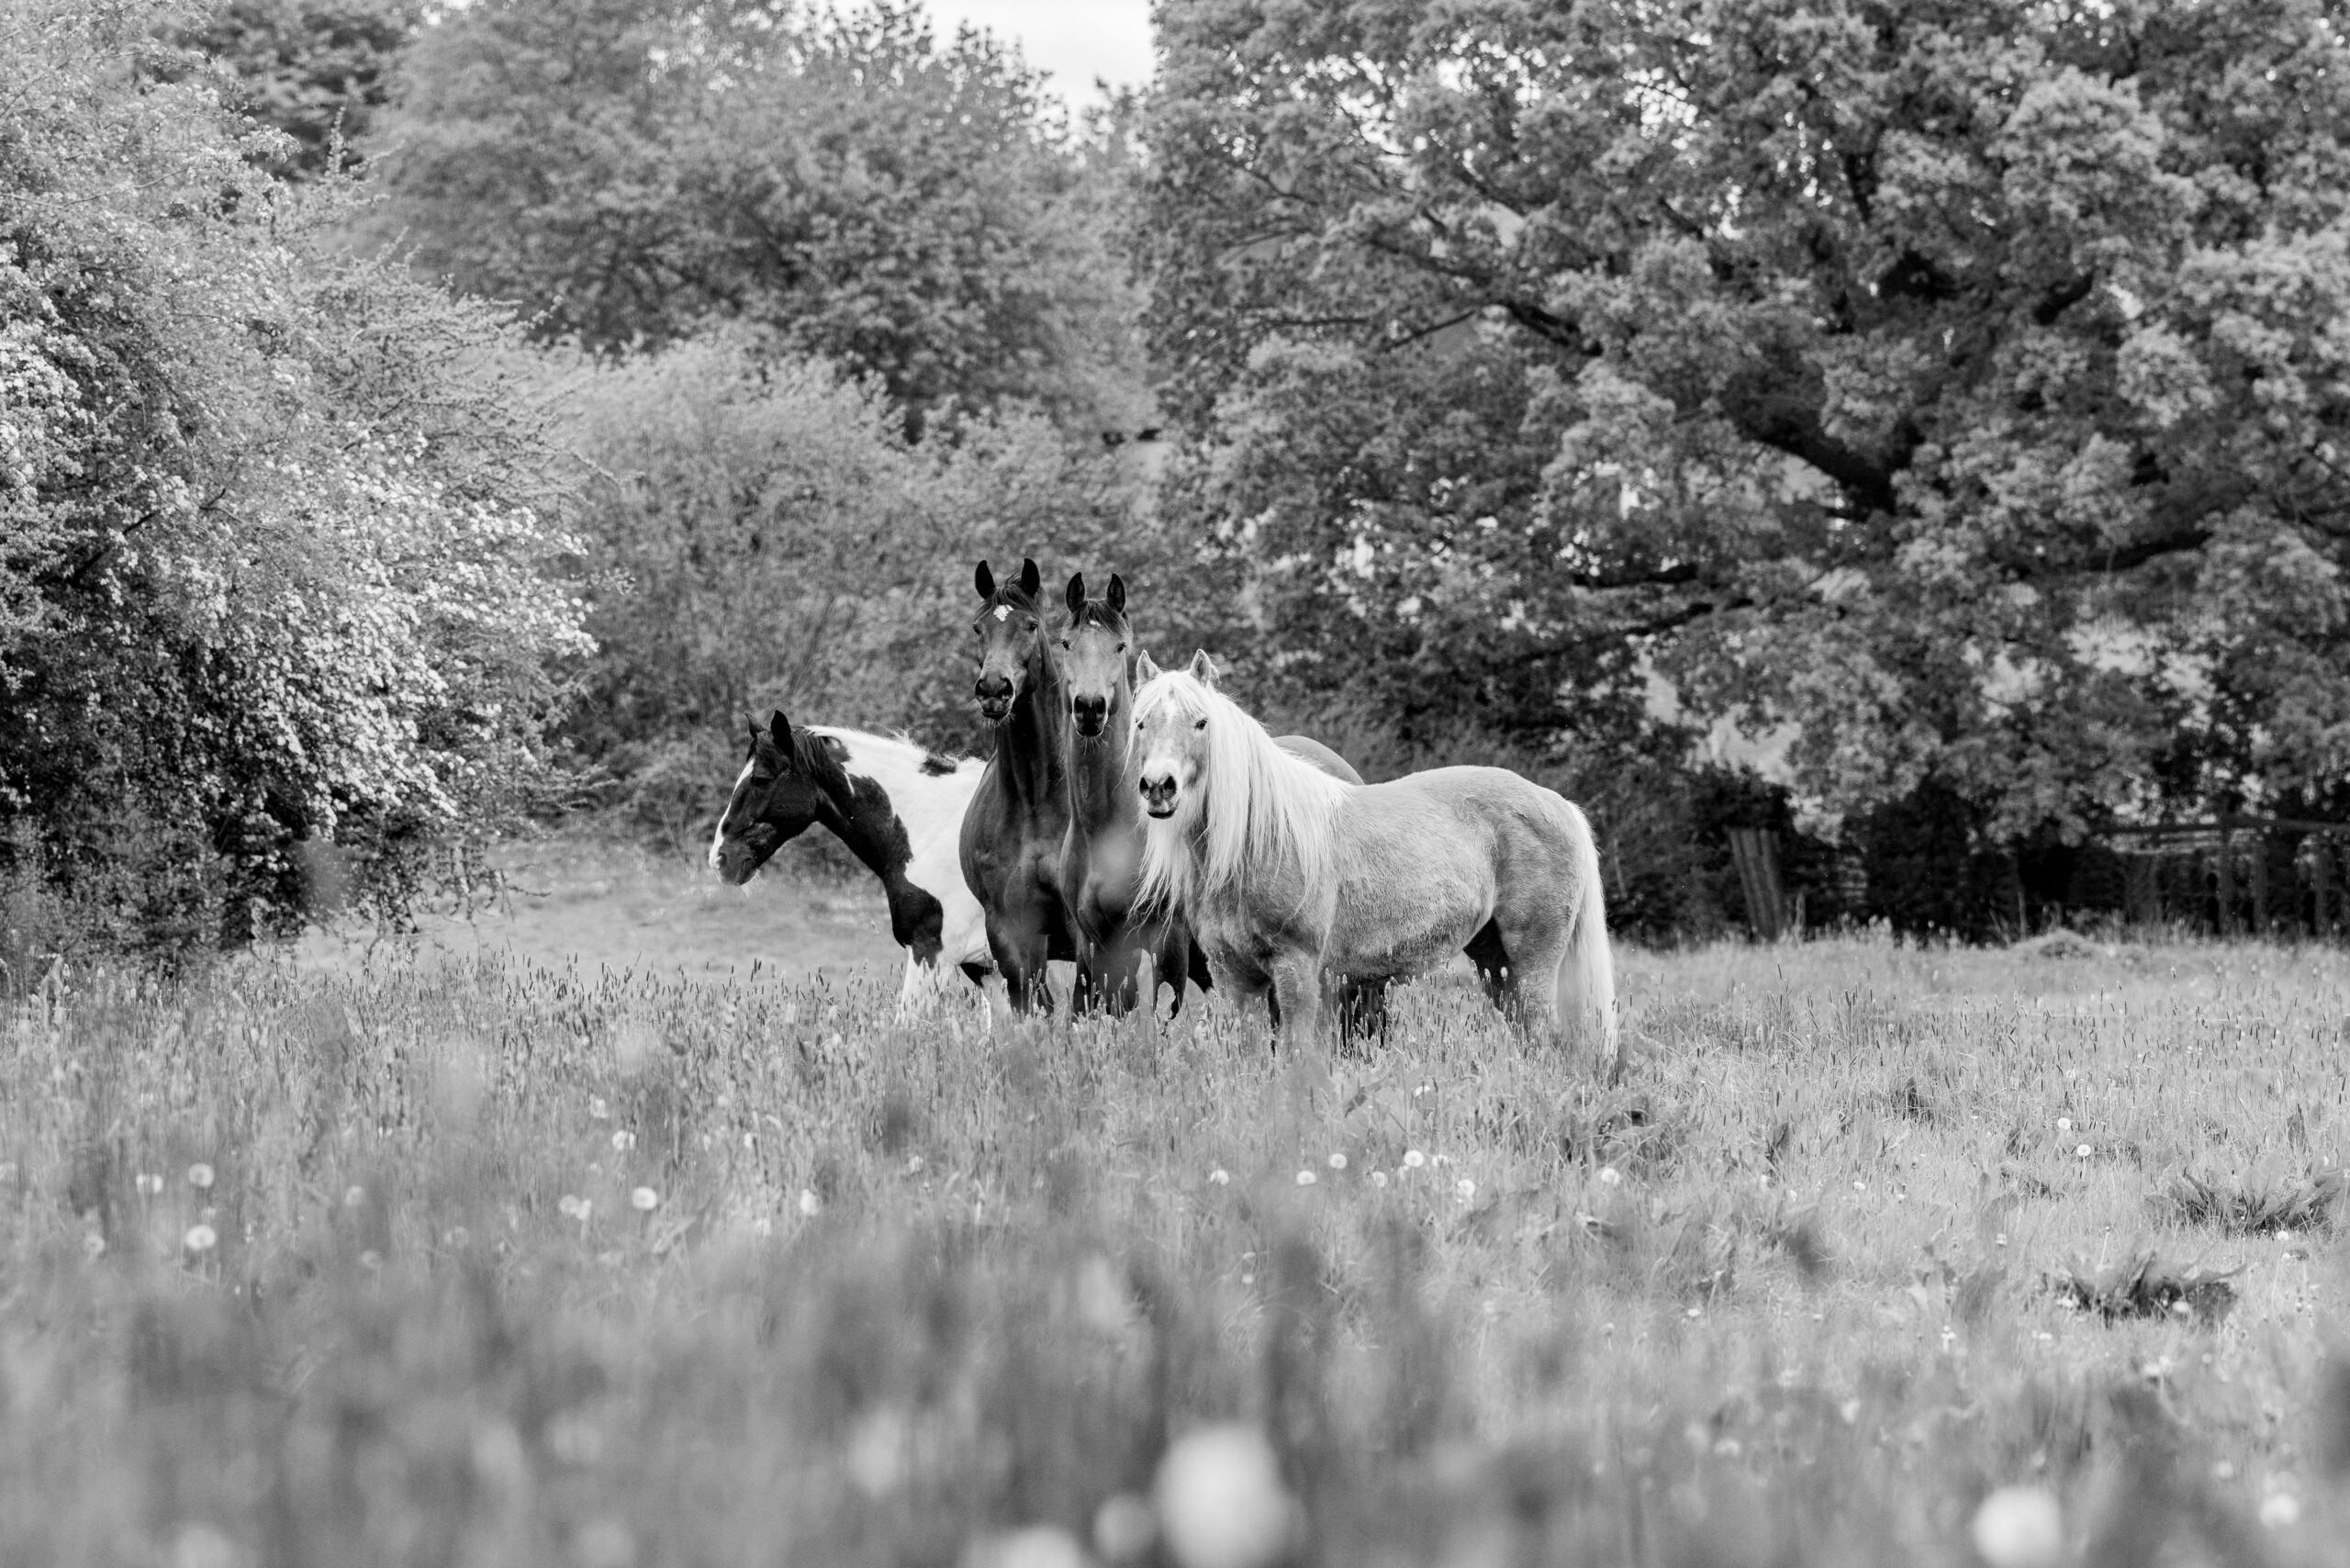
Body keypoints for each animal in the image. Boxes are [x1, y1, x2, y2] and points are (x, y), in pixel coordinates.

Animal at [1130, 651, 1618, 1072]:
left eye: (1201, 722)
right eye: (1140, 723)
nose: (1158, 787)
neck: (1261, 839)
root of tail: (1556, 803)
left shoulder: (1298, 969)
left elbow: (1295, 1052)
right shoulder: (1234, 976)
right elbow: (1251, 1057)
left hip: (1532, 961)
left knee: (1543, 1035)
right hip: (1494, 960)